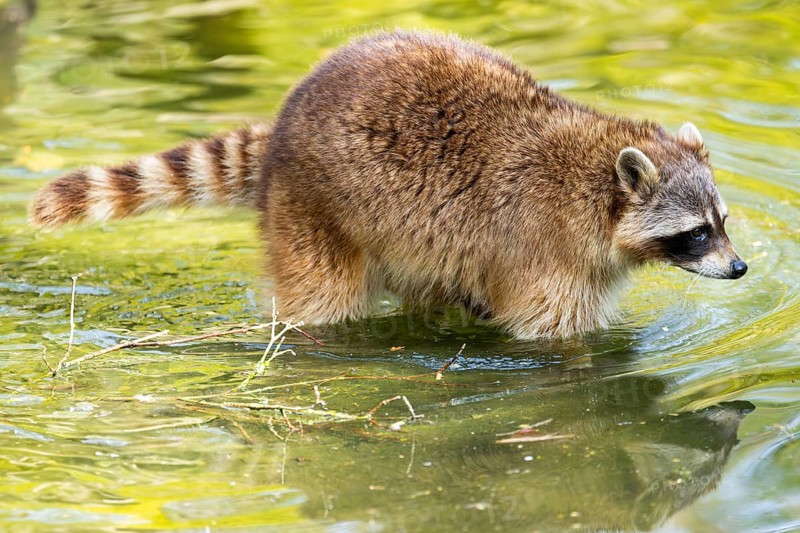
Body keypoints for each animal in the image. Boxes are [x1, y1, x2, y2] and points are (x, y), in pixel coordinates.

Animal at [29, 31, 747, 339]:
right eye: (695, 232)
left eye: (723, 221)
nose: (740, 267)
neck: (593, 189)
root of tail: (283, 122)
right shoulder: (542, 248)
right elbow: (552, 337)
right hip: (312, 209)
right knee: (321, 295)